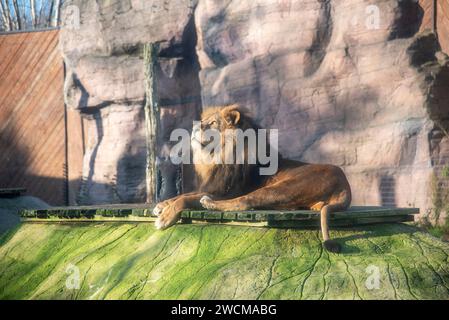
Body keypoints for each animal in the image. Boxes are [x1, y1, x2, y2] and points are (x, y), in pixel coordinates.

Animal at [154, 105, 350, 252]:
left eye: (212, 123)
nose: (195, 127)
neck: (217, 157)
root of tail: (345, 184)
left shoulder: (225, 192)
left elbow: (185, 199)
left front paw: (164, 218)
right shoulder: (211, 186)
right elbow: (182, 195)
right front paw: (162, 205)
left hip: (283, 188)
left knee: (243, 202)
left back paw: (208, 203)